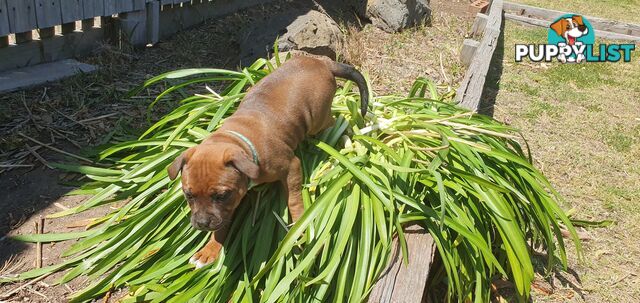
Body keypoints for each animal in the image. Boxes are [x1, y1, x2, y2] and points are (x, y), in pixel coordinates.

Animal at [168, 56, 368, 268]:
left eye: (221, 195)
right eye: (188, 195)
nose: (202, 223)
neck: (240, 141)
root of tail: (322, 62)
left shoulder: (291, 167)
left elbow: (294, 200)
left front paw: (300, 226)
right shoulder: (230, 204)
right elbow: (221, 225)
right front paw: (210, 250)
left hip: (318, 118)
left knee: (335, 121)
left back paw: (343, 132)